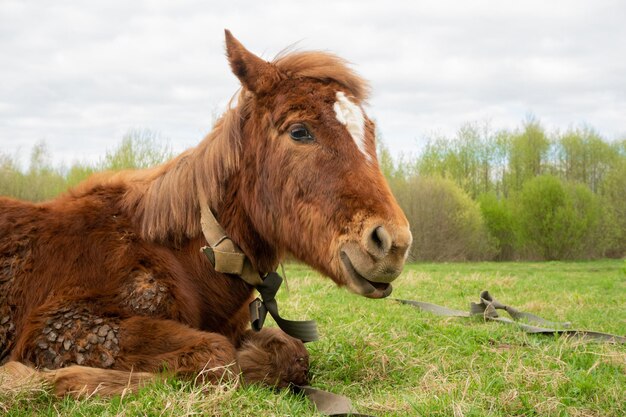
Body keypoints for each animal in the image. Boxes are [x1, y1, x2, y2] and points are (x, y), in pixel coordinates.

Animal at [0, 30, 412, 394]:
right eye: (299, 131)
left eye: (371, 130)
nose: (393, 244)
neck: (186, 258)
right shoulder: (63, 328)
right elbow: (217, 356)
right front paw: (33, 382)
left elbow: (291, 352)